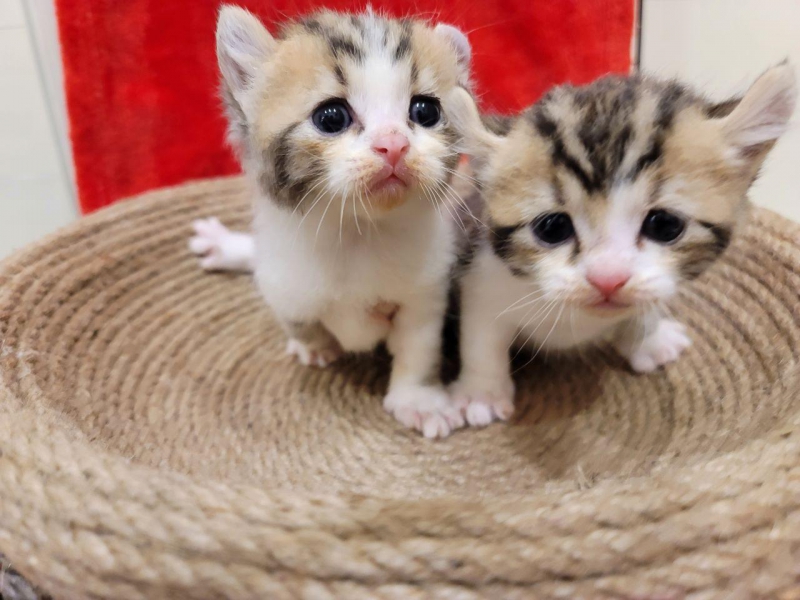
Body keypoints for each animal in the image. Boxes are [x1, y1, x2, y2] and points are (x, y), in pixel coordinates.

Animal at [190, 4, 472, 436]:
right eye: (331, 117)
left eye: (425, 111)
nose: (394, 144)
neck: (357, 232)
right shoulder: (285, 282)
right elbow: (300, 321)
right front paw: (314, 346)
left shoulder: (426, 290)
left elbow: (419, 347)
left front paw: (419, 401)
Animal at [446, 63, 796, 424]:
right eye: (553, 228)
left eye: (665, 225)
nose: (608, 278)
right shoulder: (478, 274)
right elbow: (482, 339)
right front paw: (482, 393)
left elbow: (648, 303)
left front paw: (650, 340)